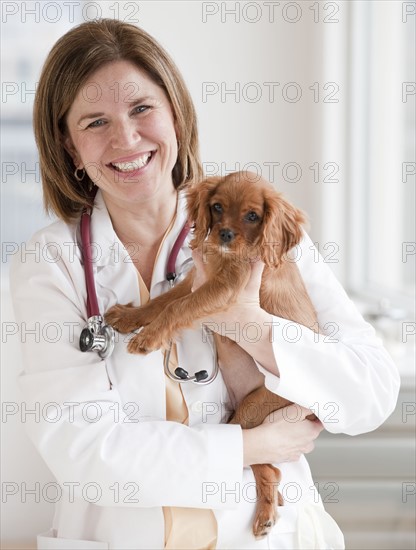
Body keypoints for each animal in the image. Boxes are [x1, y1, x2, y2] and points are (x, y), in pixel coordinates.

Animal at [105, 172, 318, 540]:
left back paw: (264, 515)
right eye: (217, 207)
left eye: (253, 215)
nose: (225, 235)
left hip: (255, 405)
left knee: (262, 459)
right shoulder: (194, 278)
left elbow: (177, 308)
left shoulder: (222, 288)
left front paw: (147, 337)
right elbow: (162, 302)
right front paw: (131, 318)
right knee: (267, 463)